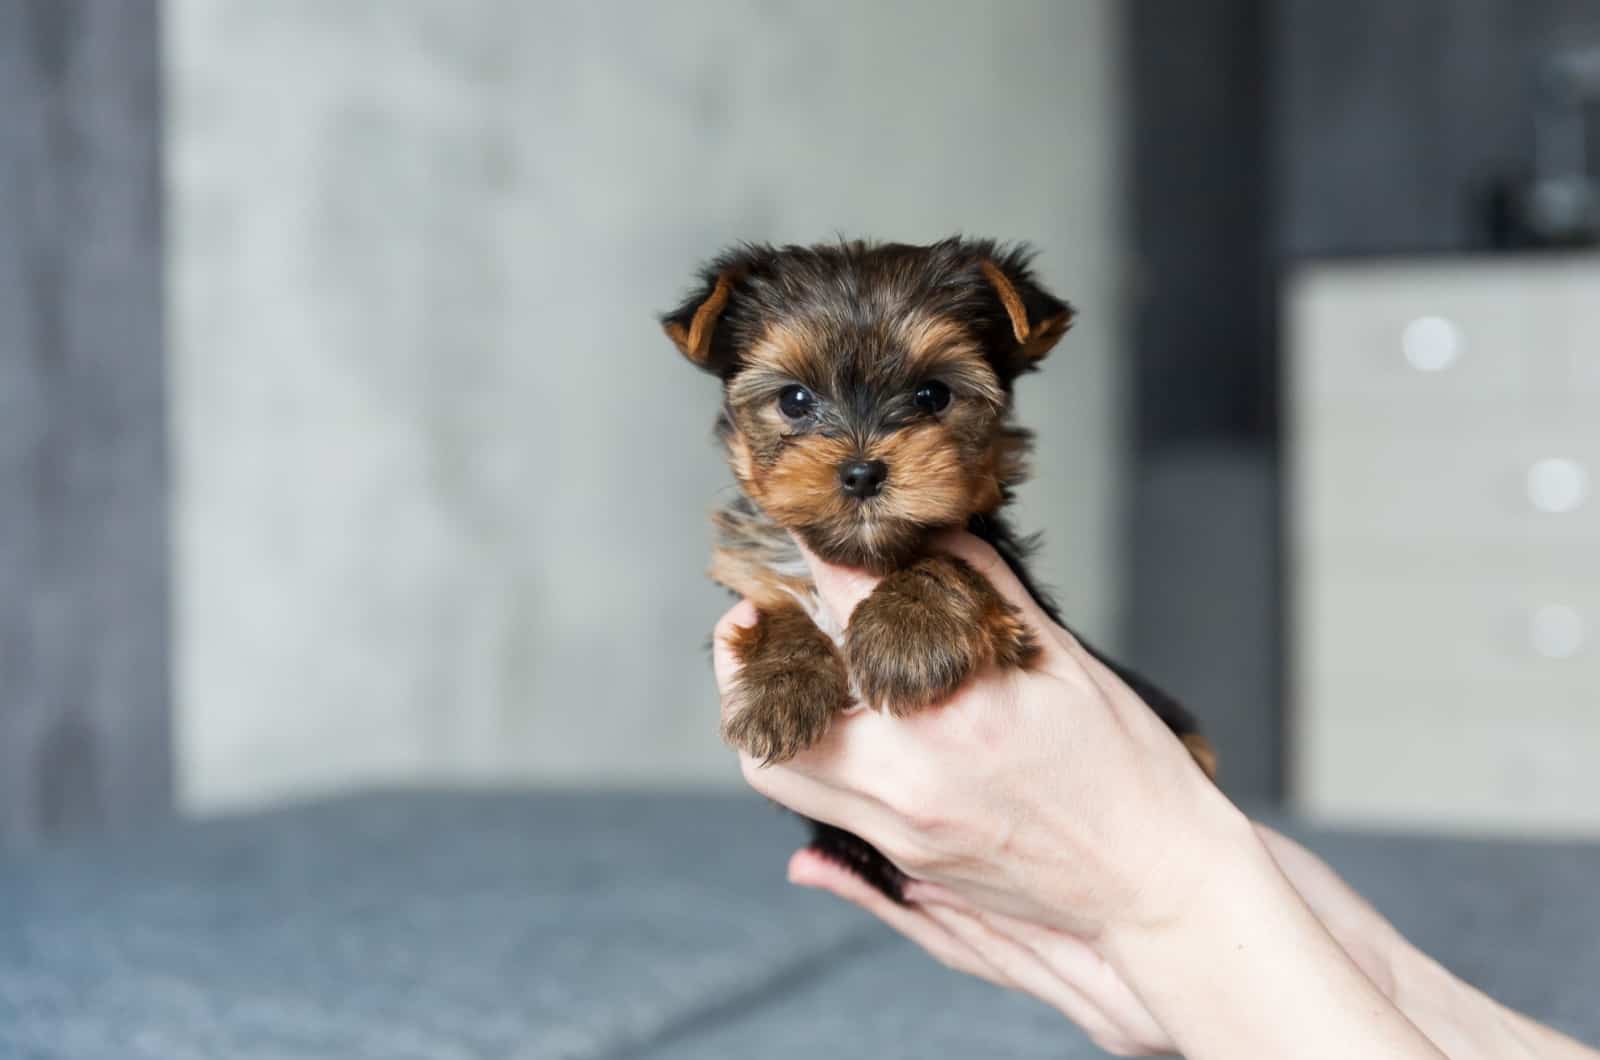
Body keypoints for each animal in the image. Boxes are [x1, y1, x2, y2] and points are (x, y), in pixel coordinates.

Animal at [662, 236, 1209, 903]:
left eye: (932, 396)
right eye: (794, 399)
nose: (862, 472)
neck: (867, 555)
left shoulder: (1006, 580)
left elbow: (944, 556)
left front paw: (906, 635)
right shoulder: (753, 572)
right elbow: (779, 608)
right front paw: (780, 688)